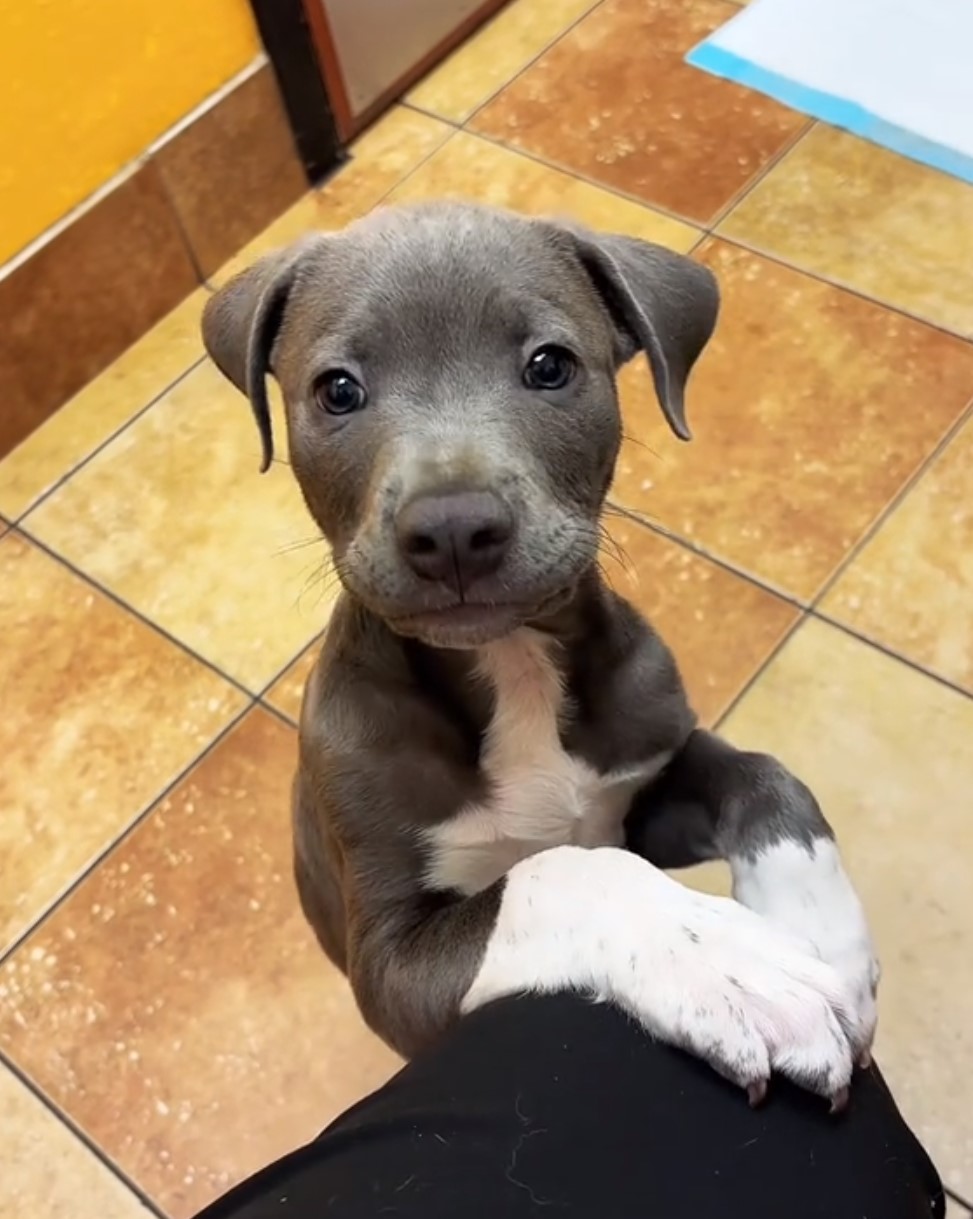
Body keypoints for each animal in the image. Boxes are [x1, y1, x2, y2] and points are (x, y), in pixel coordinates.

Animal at [202, 204, 877, 1111]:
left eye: (548, 365)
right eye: (337, 389)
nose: (452, 527)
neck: (511, 665)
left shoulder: (643, 786)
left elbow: (766, 775)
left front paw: (821, 936)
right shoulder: (391, 966)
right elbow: (560, 871)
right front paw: (737, 967)